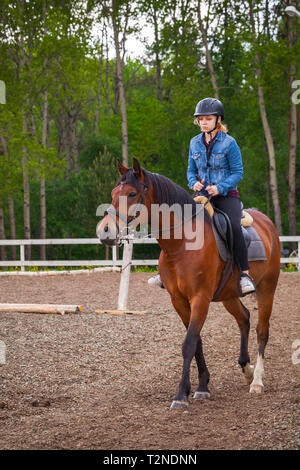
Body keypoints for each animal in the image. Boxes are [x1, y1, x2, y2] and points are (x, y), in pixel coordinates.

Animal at [96, 157, 282, 408]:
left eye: (132, 193)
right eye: (114, 193)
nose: (105, 231)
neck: (182, 244)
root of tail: (267, 223)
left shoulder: (200, 299)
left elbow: (189, 343)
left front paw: (180, 395)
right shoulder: (179, 301)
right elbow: (197, 342)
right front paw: (202, 385)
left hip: (267, 288)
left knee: (262, 330)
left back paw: (257, 381)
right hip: (229, 295)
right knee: (244, 318)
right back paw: (246, 369)